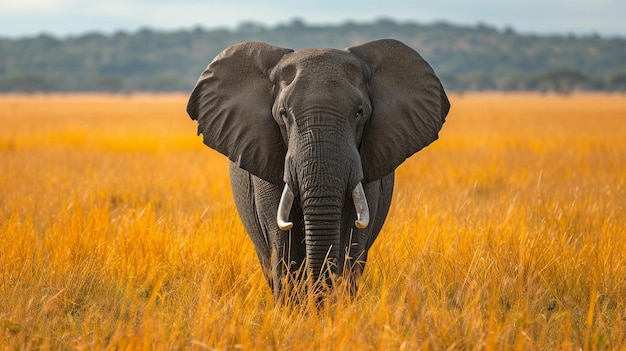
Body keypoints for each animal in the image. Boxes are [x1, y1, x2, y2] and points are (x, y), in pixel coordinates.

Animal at [186, 40, 448, 302]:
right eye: (283, 115)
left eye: (359, 113)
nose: (319, 298)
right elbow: (283, 239)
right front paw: (294, 309)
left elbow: (352, 236)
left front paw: (336, 307)